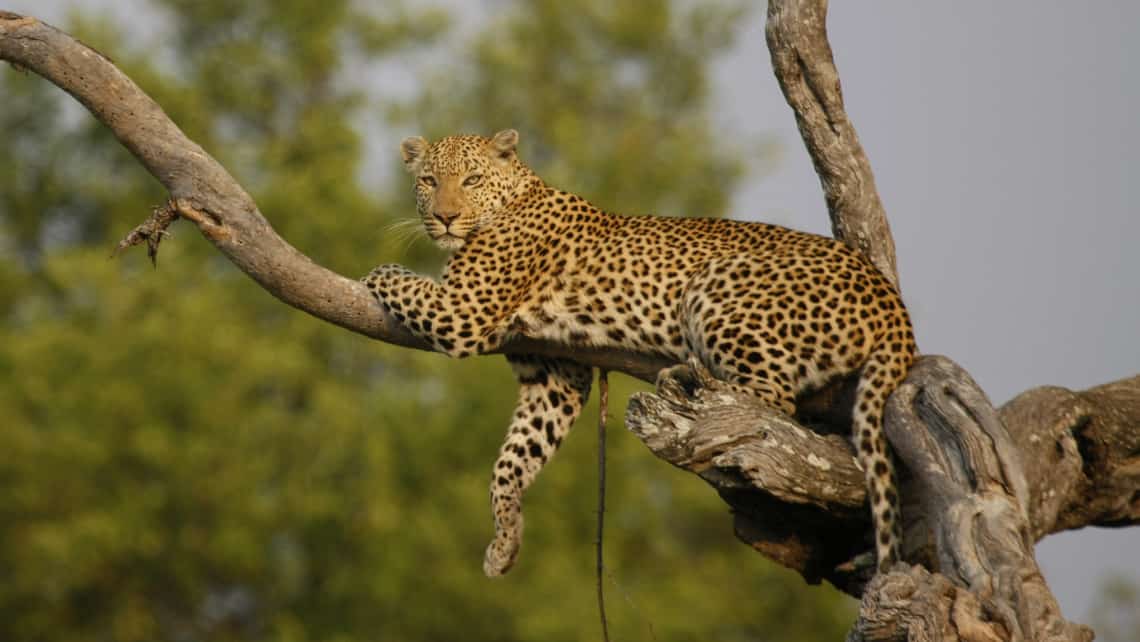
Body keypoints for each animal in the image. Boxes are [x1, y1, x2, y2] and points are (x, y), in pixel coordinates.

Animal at [364, 129, 916, 577]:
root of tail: (890, 299)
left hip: (713, 285)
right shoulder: (555, 375)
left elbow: (393, 277)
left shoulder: (463, 310)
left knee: (773, 400)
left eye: (472, 179)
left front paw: (377, 273)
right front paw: (505, 542)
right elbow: (516, 456)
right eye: (429, 181)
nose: (445, 217)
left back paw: (690, 387)